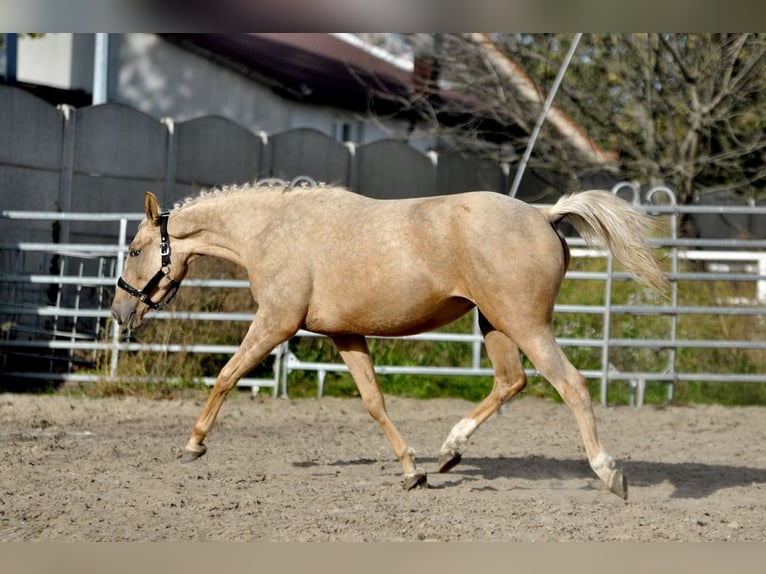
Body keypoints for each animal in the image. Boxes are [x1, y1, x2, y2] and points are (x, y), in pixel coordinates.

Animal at [111, 184, 668, 500]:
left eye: (135, 249)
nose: (120, 313)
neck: (271, 231)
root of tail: (544, 215)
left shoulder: (275, 323)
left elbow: (226, 376)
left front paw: (193, 445)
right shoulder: (345, 334)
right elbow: (375, 402)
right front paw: (412, 472)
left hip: (525, 323)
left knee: (570, 384)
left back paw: (609, 473)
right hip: (495, 324)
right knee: (511, 382)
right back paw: (449, 452)